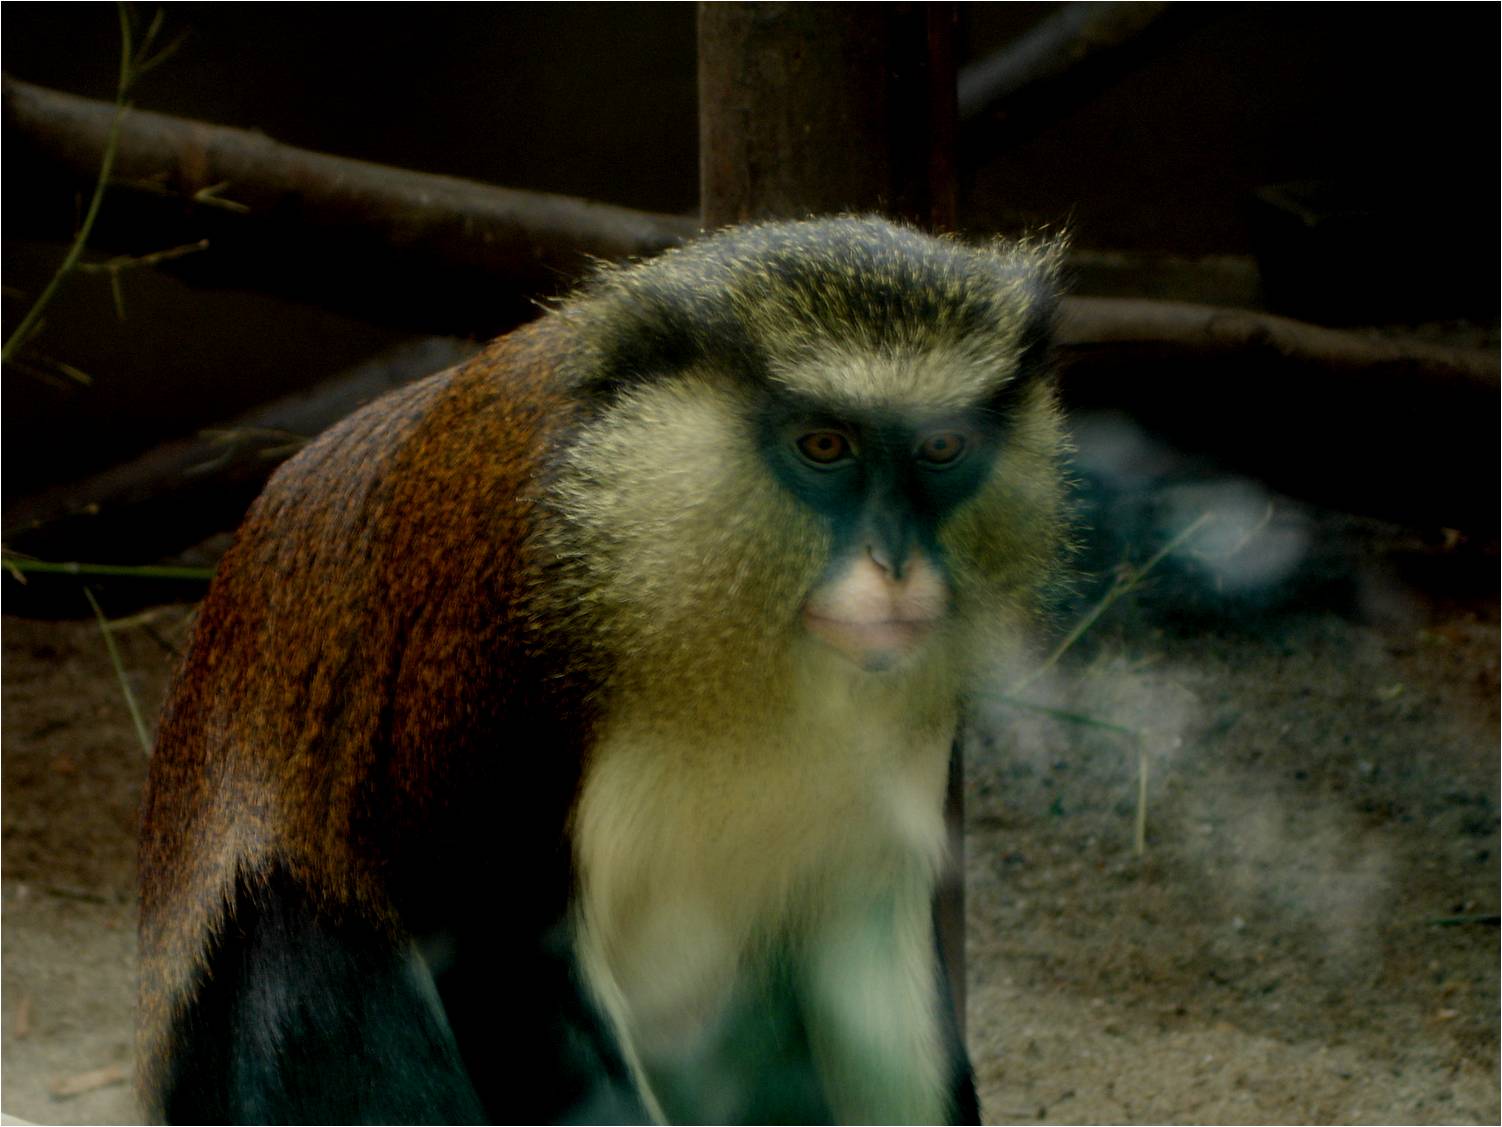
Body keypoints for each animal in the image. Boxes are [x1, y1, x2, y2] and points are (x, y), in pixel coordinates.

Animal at [137, 216, 1070, 1125]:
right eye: (825, 445)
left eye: (941, 448)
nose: (896, 566)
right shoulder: (500, 656)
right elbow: (502, 951)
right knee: (291, 940)